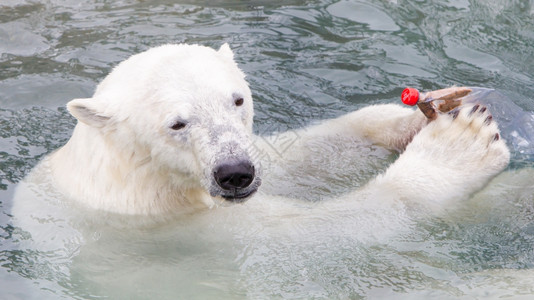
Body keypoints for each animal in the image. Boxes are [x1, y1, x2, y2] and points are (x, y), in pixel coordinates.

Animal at [13, 43, 510, 219]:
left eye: (237, 100)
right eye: (177, 123)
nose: (236, 172)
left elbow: (293, 158)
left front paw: (424, 112)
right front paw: (462, 143)